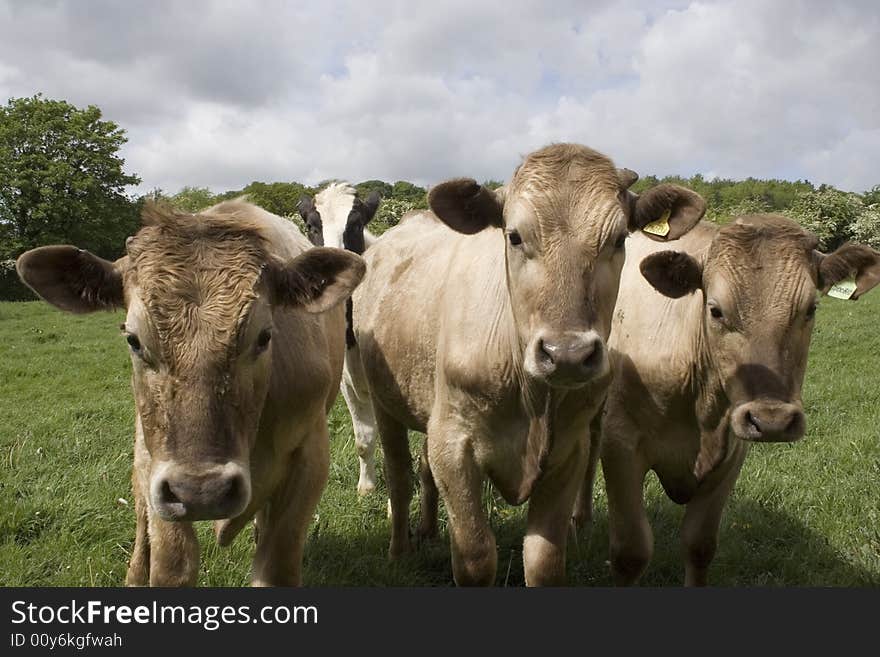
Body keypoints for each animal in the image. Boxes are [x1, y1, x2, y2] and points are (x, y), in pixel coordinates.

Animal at [16, 200, 364, 584]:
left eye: (264, 336)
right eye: (133, 339)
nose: (202, 491)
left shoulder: (311, 456)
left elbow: (275, 565)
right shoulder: (157, 466)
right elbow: (172, 564)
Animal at [354, 144, 704, 584]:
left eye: (619, 238)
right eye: (515, 236)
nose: (567, 354)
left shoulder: (569, 450)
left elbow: (543, 560)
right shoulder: (453, 441)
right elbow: (475, 557)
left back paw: (429, 528)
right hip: (384, 399)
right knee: (398, 475)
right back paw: (399, 550)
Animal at [576, 214, 880, 584]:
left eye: (810, 309)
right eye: (716, 310)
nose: (773, 420)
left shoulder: (733, 451)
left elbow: (700, 545)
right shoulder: (622, 443)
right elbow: (631, 552)